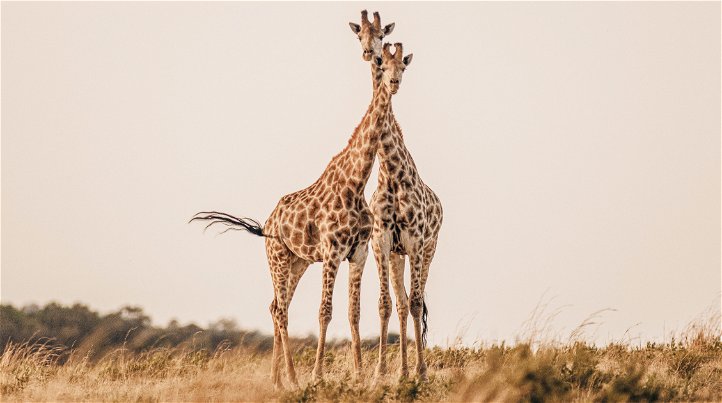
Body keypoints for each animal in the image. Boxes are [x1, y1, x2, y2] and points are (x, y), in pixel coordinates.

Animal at [188, 40, 394, 388]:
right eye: (374, 49)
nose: (390, 78)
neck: (355, 182)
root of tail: (266, 225)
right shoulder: (332, 251)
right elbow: (325, 310)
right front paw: (318, 376)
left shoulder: (359, 252)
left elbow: (353, 312)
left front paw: (360, 375)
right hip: (278, 258)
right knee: (281, 310)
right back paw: (293, 379)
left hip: (298, 262)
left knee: (275, 306)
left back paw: (278, 380)